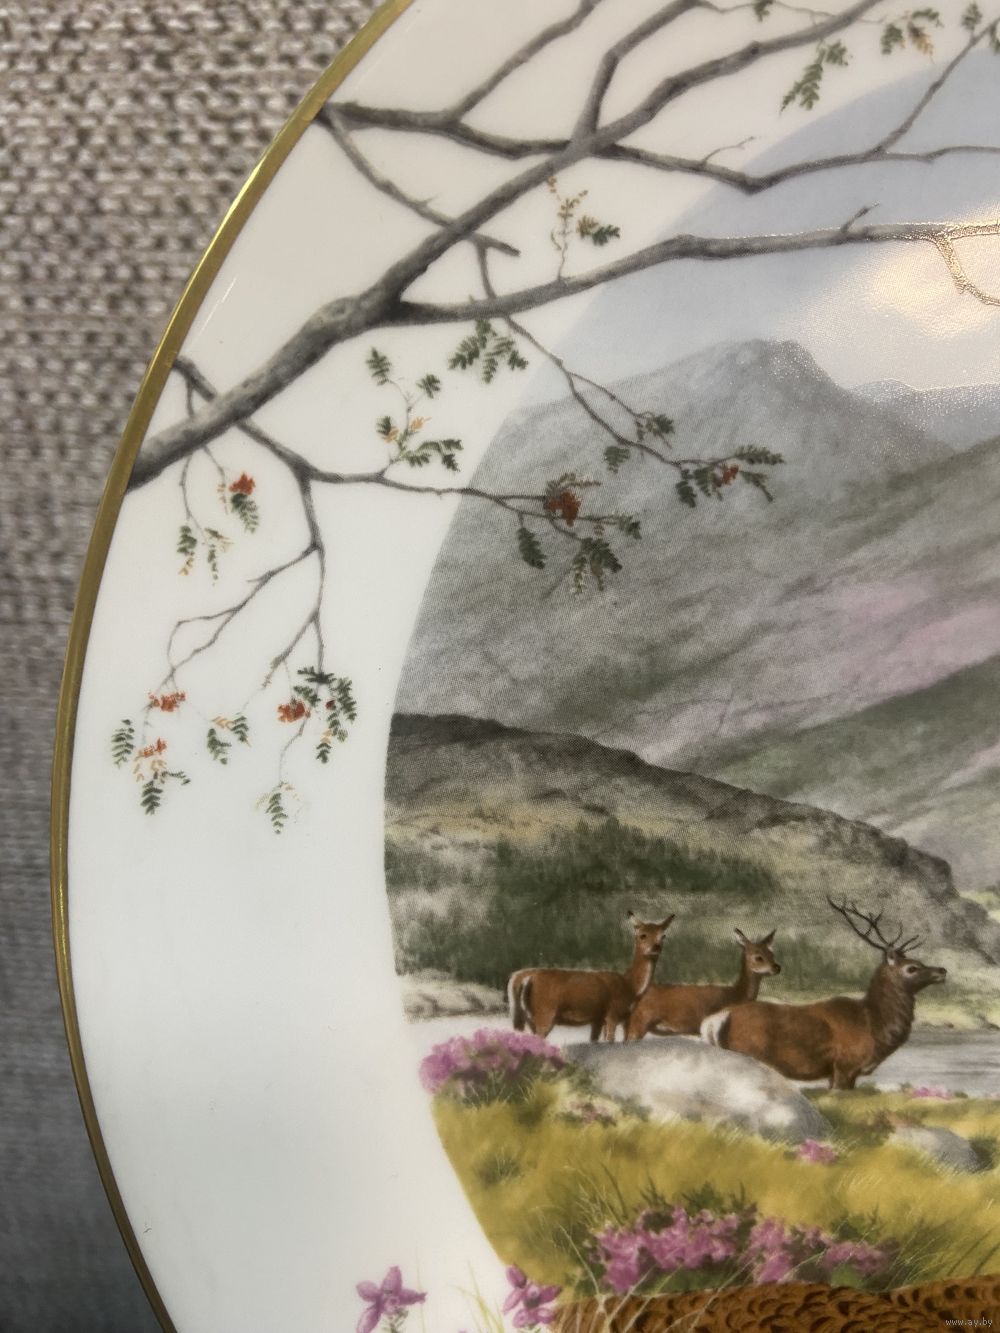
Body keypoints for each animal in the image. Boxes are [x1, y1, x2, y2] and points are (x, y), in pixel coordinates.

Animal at [508, 912, 674, 1042]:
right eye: (642, 935)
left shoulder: (598, 1019)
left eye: (663, 935)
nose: (656, 947)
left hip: (523, 1017)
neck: (630, 986)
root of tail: (522, 976)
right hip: (545, 1011)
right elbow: (609, 1041)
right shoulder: (612, 1013)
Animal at [701, 898, 946, 1089]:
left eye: (918, 961)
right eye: (912, 968)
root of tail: (716, 1020)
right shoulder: (845, 1066)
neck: (873, 1025)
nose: (942, 970)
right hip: (749, 1054)